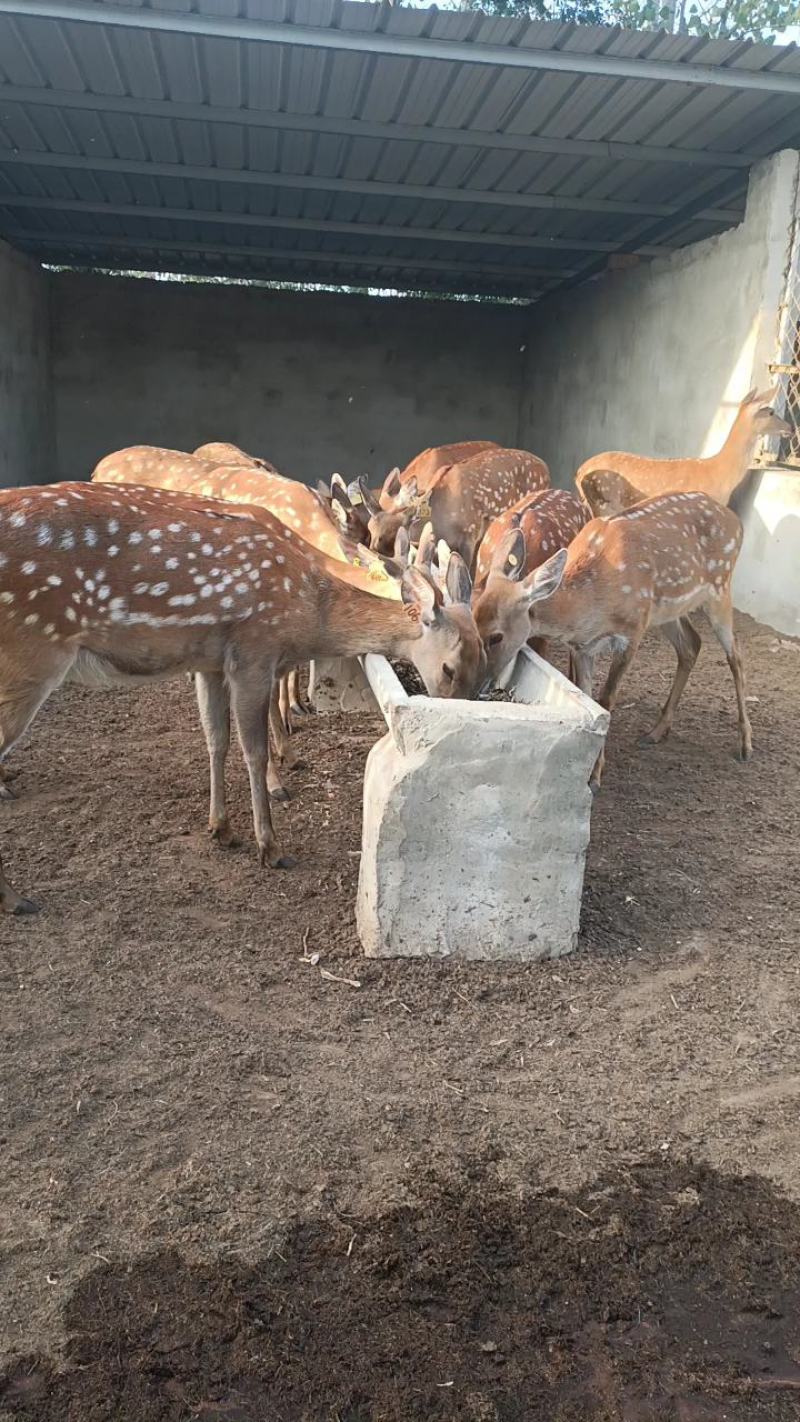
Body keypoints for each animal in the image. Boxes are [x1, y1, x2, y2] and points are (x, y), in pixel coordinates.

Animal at [0, 481, 485, 915]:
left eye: (483, 663)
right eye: (449, 667)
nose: (457, 708)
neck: (308, 611)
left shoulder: (211, 662)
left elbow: (215, 738)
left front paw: (221, 828)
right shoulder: (254, 651)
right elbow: (252, 749)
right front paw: (270, 844)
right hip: (32, 652)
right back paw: (17, 899)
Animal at [472, 490, 752, 791]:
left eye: (496, 636)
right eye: (472, 616)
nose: (477, 687)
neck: (592, 604)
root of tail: (737, 522)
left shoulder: (632, 631)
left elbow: (607, 698)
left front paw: (595, 776)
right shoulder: (582, 647)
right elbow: (588, 694)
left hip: (719, 589)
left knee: (736, 655)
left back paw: (745, 744)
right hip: (667, 612)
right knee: (691, 645)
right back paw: (656, 732)